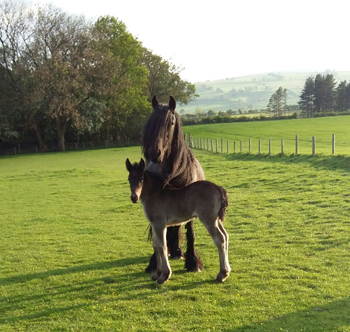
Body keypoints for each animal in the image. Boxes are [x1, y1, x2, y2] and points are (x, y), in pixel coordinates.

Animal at [142, 96, 205, 272]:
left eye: (170, 122)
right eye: (151, 121)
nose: (154, 153)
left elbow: (190, 233)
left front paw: (193, 262)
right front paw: (155, 262)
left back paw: (176, 250)